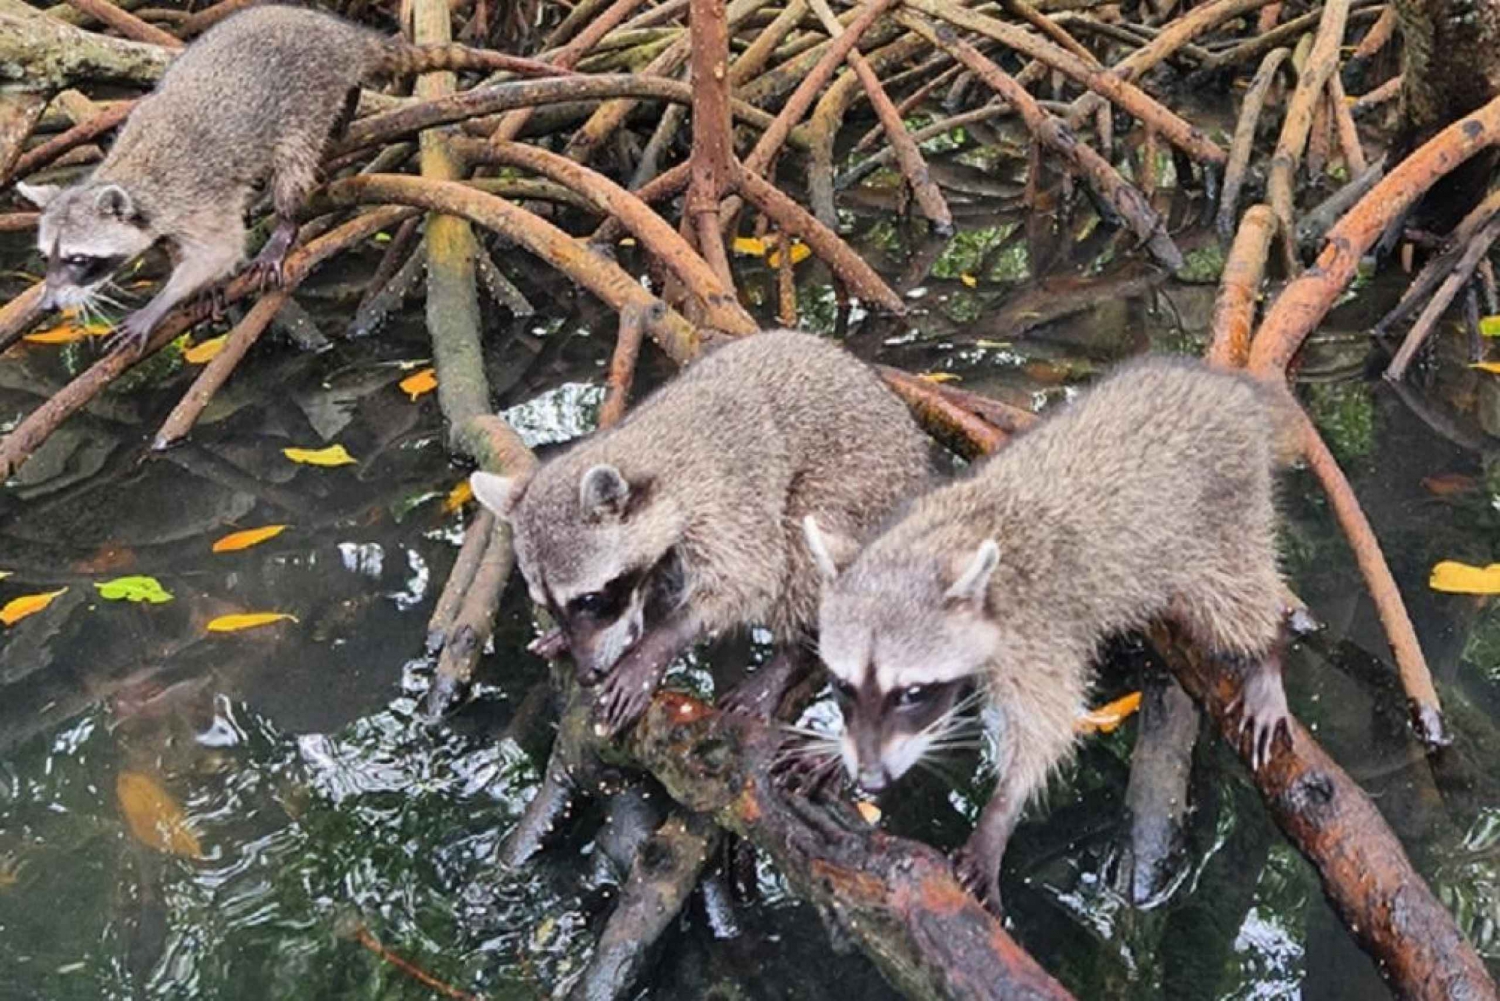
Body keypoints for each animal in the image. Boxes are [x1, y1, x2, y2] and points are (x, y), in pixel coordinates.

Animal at [17, 4, 564, 353]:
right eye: (48, 257)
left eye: (80, 260)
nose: (48, 305)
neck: (131, 176)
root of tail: (335, 31)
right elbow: (184, 251)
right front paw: (201, 287)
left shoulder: (196, 197)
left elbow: (219, 249)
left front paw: (164, 301)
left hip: (305, 104)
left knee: (295, 168)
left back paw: (284, 223)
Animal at [469, 329, 932, 735]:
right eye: (550, 604)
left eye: (589, 600)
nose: (588, 675)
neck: (648, 452)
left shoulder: (726, 505)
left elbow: (750, 579)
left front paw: (660, 641)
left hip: (860, 491)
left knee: (807, 533)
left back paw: (795, 651)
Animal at [801, 356, 1301, 914]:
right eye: (844, 686)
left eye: (910, 693)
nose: (870, 777)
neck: (938, 542)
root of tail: (1229, 390)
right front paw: (834, 749)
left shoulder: (1037, 632)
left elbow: (1047, 726)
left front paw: (1000, 814)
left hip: (1221, 521)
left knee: (1235, 599)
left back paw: (1268, 651)